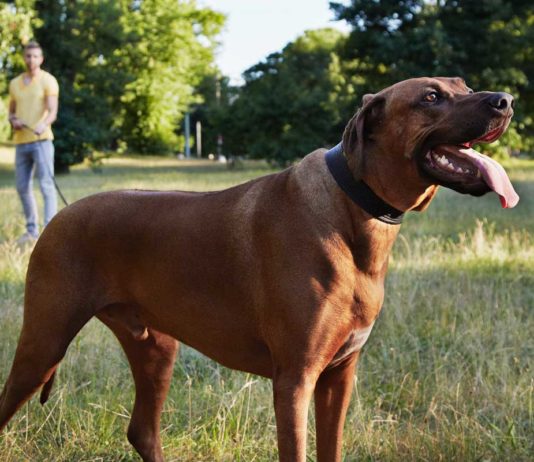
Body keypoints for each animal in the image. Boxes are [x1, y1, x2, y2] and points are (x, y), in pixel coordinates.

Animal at [0, 77, 520, 460]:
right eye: (431, 97)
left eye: (463, 84)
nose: (506, 100)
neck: (354, 207)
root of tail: (60, 215)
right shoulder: (294, 380)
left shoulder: (339, 376)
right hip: (43, 340)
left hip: (155, 347)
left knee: (141, 431)